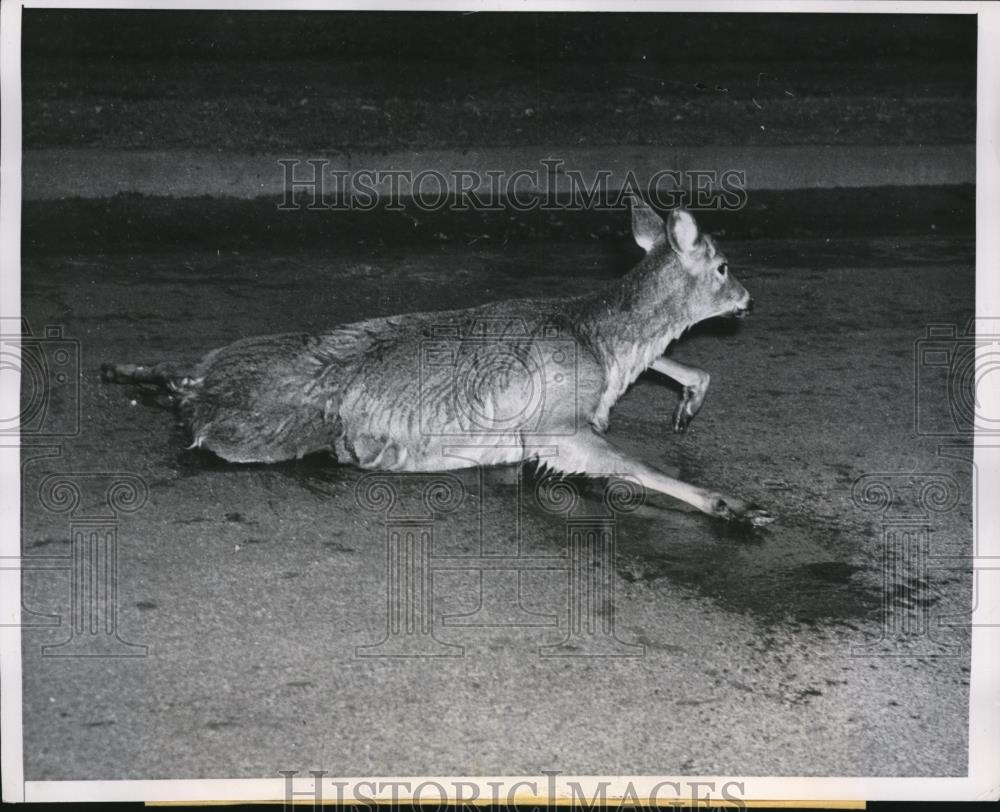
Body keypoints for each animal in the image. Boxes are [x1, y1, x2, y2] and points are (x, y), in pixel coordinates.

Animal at [101, 197, 772, 528]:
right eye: (722, 266)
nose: (748, 299)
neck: (603, 345)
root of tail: (202, 391)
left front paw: (690, 399)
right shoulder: (555, 425)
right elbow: (637, 465)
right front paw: (734, 506)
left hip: (235, 360)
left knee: (186, 365)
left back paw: (129, 373)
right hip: (258, 434)